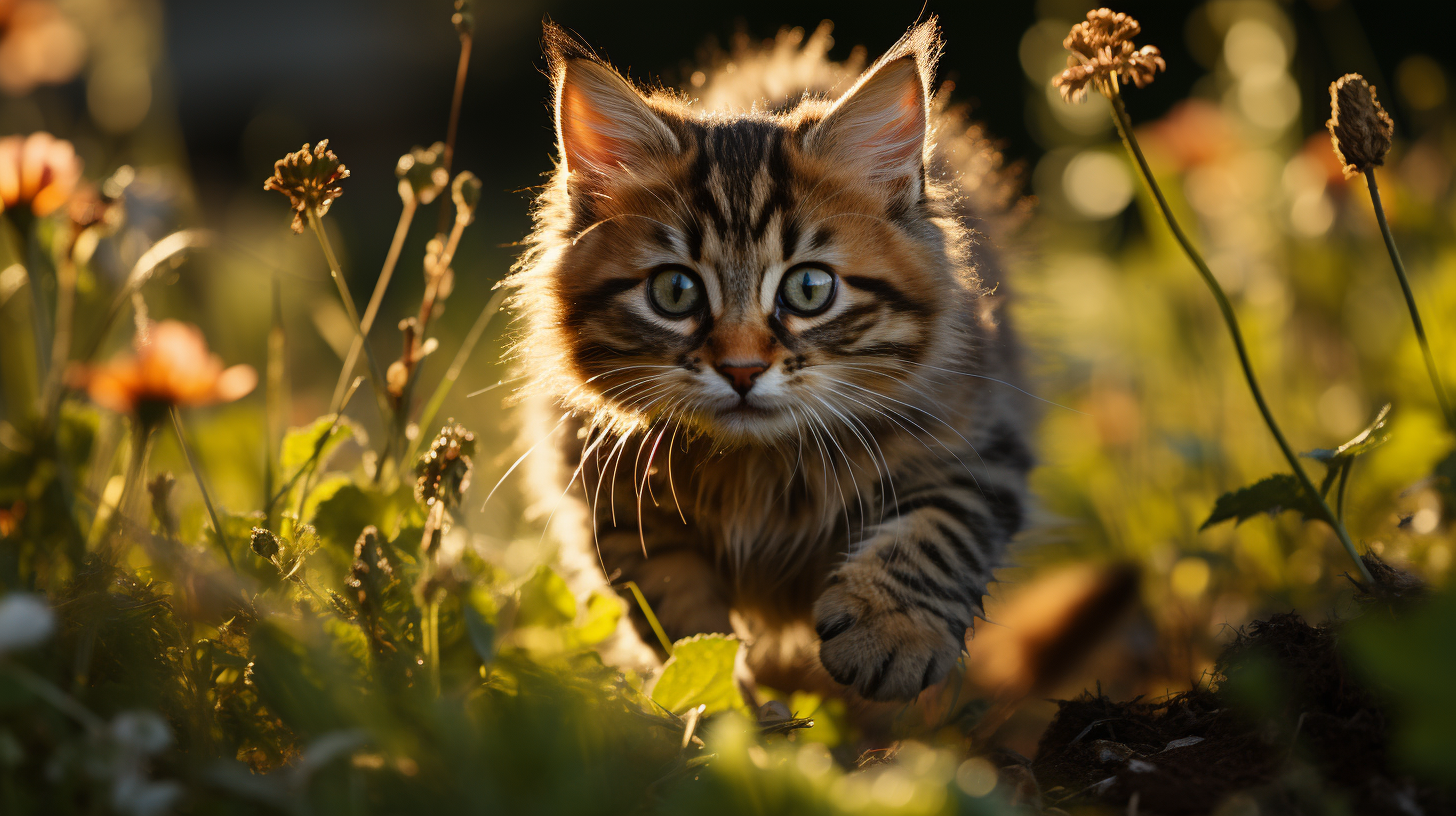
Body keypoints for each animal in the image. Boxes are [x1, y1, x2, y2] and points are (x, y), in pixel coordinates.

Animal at [512, 22, 1036, 705]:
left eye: (809, 290)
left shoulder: (980, 440)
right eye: (675, 292)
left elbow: (939, 530)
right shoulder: (612, 501)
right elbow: (682, 620)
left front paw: (888, 634)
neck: (761, 468)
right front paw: (728, 708)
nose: (740, 369)